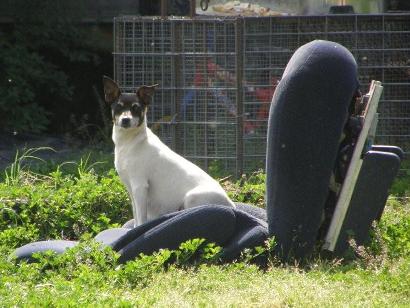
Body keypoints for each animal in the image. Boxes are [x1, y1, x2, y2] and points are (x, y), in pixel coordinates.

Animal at [104, 77, 235, 226]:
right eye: (118, 107)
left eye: (136, 108)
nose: (125, 120)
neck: (130, 142)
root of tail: (232, 205)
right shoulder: (131, 189)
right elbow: (136, 214)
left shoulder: (140, 186)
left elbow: (141, 218)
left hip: (191, 197)